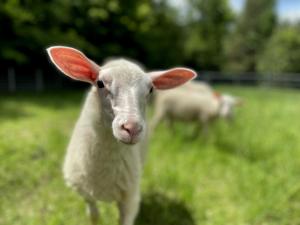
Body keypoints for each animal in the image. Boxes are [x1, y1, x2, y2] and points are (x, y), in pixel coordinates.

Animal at [46, 46, 197, 225]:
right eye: (100, 83)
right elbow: (94, 216)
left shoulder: (130, 200)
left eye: (151, 89)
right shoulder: (86, 194)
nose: (132, 128)